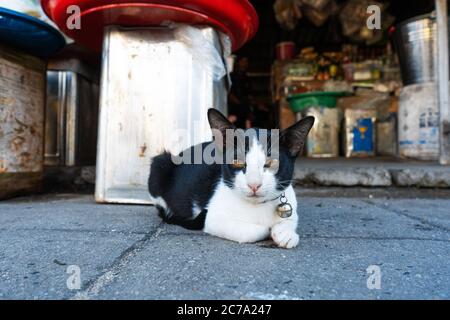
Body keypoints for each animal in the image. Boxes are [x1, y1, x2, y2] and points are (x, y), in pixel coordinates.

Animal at [148, 109, 312, 249]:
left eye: (271, 162)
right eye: (237, 161)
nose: (254, 184)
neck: (257, 207)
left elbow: (291, 219)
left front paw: (286, 233)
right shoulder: (213, 218)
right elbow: (255, 231)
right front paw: (269, 229)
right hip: (160, 163)